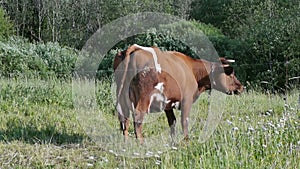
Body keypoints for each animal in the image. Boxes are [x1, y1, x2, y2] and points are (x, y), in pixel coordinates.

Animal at [113, 44, 243, 144]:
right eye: (231, 74)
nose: (241, 87)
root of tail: (135, 48)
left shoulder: (167, 103)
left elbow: (172, 122)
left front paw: (173, 143)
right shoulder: (187, 99)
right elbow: (184, 121)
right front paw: (186, 142)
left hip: (122, 95)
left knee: (124, 118)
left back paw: (126, 144)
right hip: (143, 98)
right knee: (138, 117)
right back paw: (141, 144)